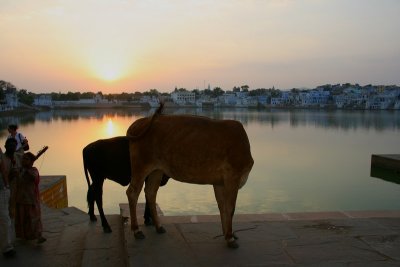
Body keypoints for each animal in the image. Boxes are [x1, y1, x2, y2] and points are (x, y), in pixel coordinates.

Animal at [126, 104, 255, 249]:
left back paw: (159, 226)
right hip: (140, 166)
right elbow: (230, 208)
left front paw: (227, 234)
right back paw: (137, 230)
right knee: (133, 192)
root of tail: (139, 122)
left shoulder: (219, 182)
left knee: (150, 192)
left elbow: (222, 207)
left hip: (157, 170)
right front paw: (230, 238)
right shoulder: (233, 176)